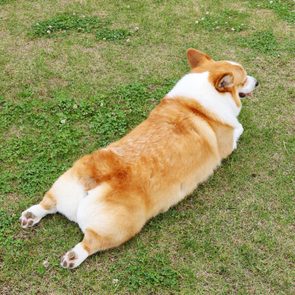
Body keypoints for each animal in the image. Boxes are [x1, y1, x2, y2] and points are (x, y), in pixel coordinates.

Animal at [19, 49, 258, 270]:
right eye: (243, 78)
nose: (257, 82)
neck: (196, 103)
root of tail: (97, 178)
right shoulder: (228, 143)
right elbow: (239, 128)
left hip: (63, 185)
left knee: (47, 204)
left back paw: (30, 215)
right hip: (119, 228)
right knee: (89, 243)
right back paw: (72, 257)